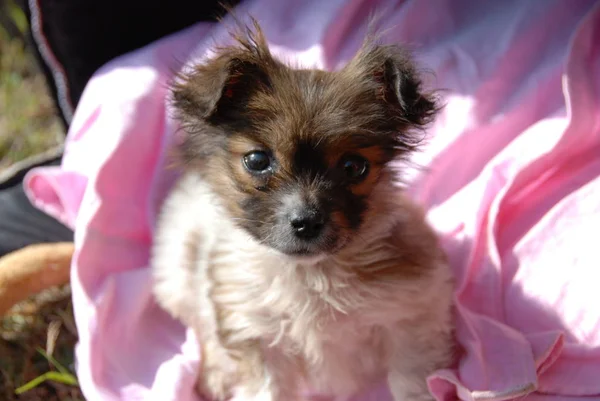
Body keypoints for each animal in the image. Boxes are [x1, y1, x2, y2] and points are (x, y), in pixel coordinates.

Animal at [151, 20, 454, 400]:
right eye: (257, 161)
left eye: (354, 167)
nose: (307, 222)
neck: (310, 276)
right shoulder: (254, 333)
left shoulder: (410, 316)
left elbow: (411, 381)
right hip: (177, 275)